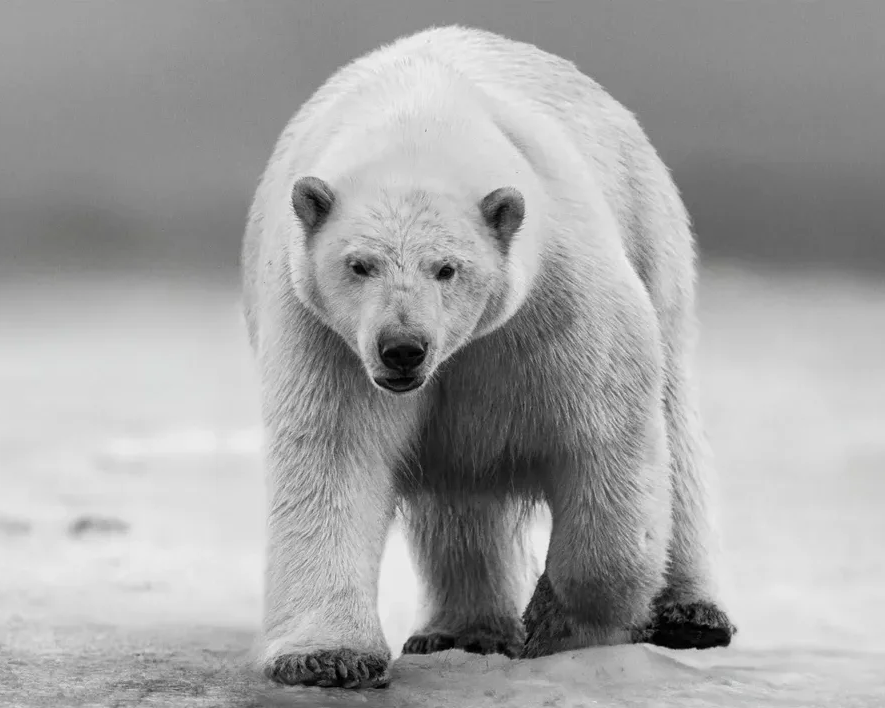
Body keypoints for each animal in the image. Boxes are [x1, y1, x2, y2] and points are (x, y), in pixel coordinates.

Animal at [241, 25, 736, 689]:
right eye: (359, 264)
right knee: (459, 497)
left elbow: (607, 437)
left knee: (675, 422)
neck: (419, 119)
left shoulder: (557, 294)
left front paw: (554, 623)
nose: (403, 348)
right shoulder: (324, 332)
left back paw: (691, 615)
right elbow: (334, 456)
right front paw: (327, 658)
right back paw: (459, 631)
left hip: (651, 230)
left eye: (447, 268)